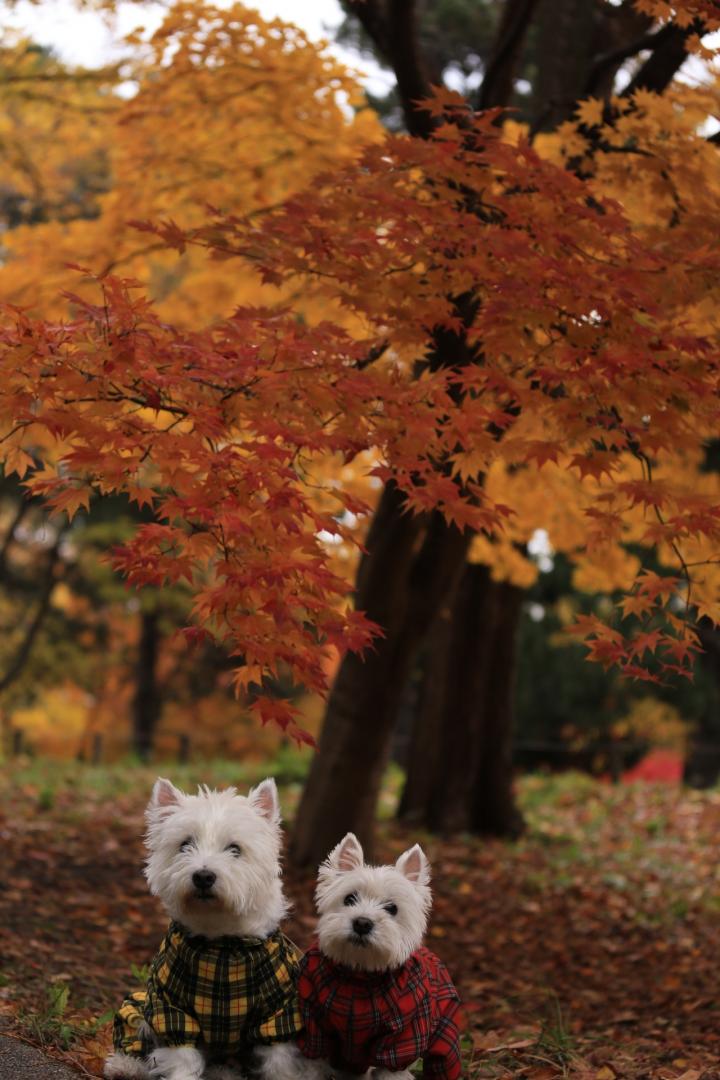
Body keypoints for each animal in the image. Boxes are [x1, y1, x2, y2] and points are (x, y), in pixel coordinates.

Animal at [103, 777, 310, 1080]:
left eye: (235, 849)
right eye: (185, 844)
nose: (203, 876)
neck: (221, 942)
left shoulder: (279, 1008)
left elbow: (278, 1057)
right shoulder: (171, 1006)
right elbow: (182, 1055)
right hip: (138, 1002)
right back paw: (124, 1066)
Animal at [295, 833, 464, 1080]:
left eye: (392, 908)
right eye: (349, 899)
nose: (362, 923)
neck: (360, 975)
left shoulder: (401, 1038)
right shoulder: (315, 1026)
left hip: (444, 1034)